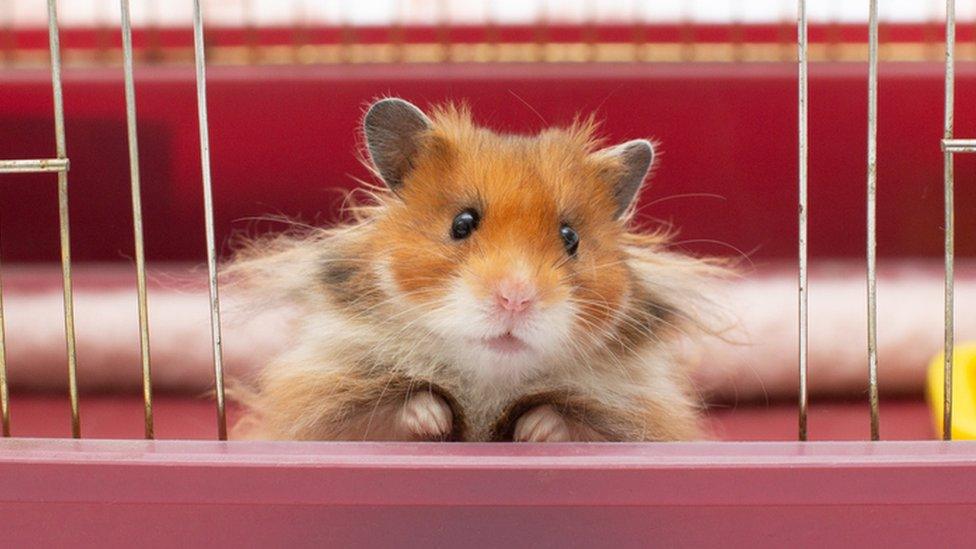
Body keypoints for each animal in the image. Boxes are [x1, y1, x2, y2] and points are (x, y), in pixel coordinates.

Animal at [227, 97, 723, 442]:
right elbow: (394, 413)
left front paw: (535, 431)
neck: (488, 384)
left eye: (571, 239)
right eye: (461, 223)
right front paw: (429, 417)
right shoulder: (321, 405)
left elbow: (567, 422)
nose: (516, 298)